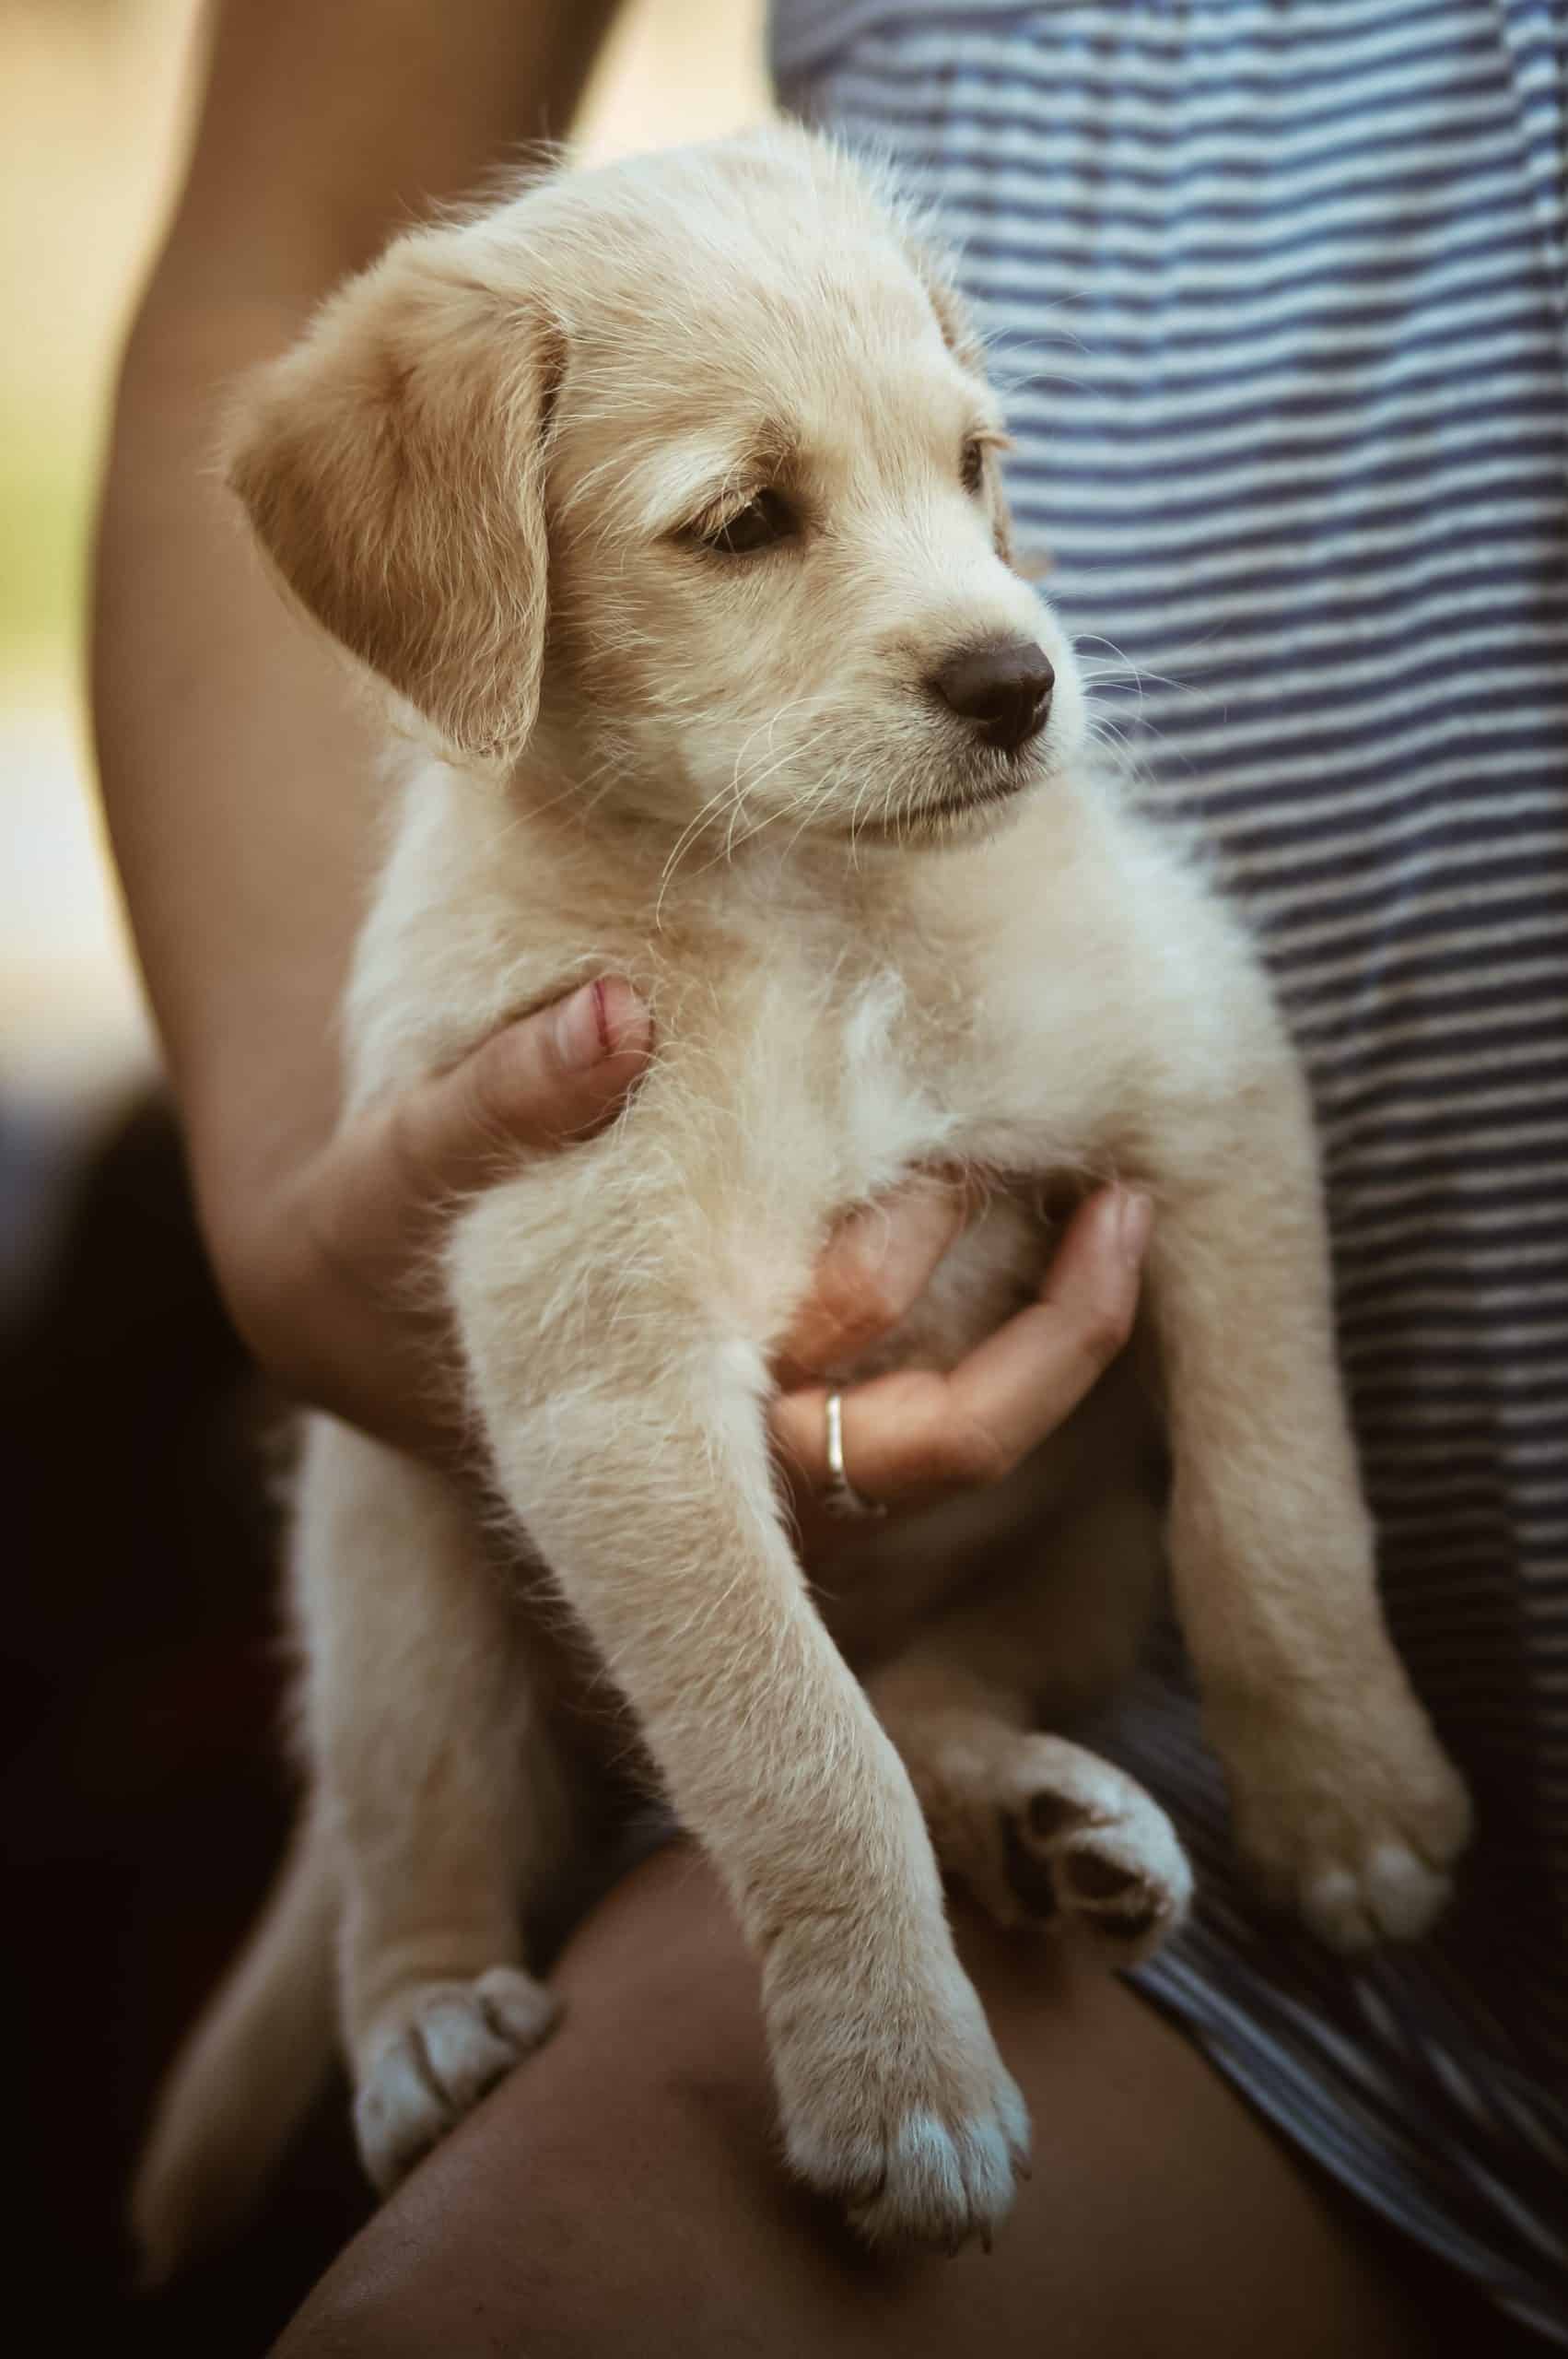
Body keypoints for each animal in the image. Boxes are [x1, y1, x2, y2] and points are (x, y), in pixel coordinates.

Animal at [131, 124, 1471, 2264]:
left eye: (975, 462)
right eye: (745, 518)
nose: (1020, 684)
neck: (817, 912)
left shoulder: (1208, 1089)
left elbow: (1275, 1508)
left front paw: (1347, 1801)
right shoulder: (608, 1377)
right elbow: (795, 1749)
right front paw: (892, 2076)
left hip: (1074, 1553)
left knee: (932, 1685)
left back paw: (1045, 1821)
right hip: (387, 1529)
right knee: (414, 1813)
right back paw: (423, 2026)